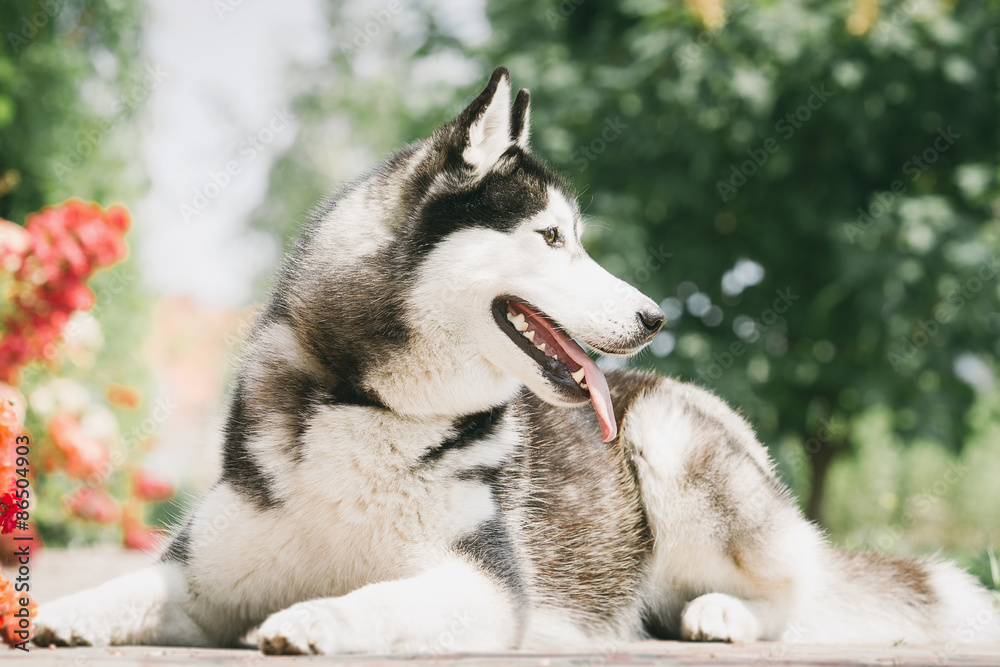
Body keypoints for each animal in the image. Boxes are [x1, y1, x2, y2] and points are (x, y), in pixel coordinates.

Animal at [35, 69, 996, 656]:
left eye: (577, 237)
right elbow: (124, 587)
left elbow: (379, 598)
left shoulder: (488, 584)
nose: (655, 315)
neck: (369, 404)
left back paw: (719, 610)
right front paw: (50, 612)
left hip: (674, 445)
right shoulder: (201, 573)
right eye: (551, 237)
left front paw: (312, 615)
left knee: (793, 593)